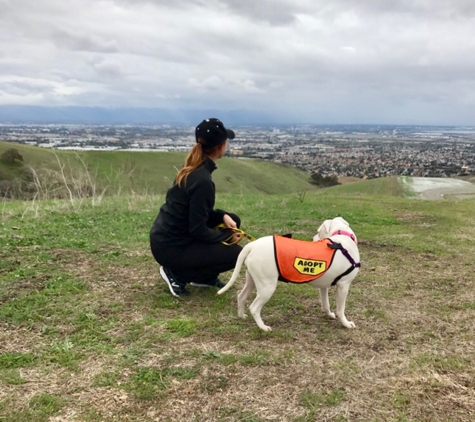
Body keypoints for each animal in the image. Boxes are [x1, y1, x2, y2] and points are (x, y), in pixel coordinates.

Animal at [218, 218, 362, 332]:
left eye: (318, 231)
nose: (313, 239)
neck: (342, 240)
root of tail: (253, 245)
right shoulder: (343, 286)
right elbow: (341, 309)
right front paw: (346, 323)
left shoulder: (323, 286)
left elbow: (325, 304)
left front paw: (329, 314)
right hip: (267, 287)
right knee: (254, 308)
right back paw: (263, 327)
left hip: (252, 281)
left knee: (241, 297)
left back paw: (241, 316)